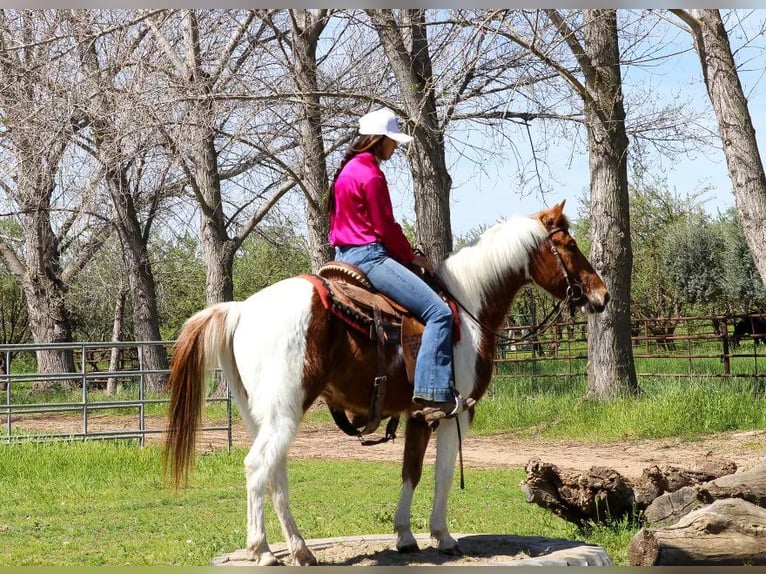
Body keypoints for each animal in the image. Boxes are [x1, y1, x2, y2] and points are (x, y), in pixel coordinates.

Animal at [164, 201, 612, 568]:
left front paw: (405, 535)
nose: (602, 295)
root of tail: (241, 310)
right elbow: (442, 473)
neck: (467, 310)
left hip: (263, 416)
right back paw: (262, 550)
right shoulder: (455, 414)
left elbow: (410, 472)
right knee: (258, 467)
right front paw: (443, 536)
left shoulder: (418, 415)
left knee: (275, 473)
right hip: (283, 413)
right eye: (570, 244)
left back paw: (300, 549)